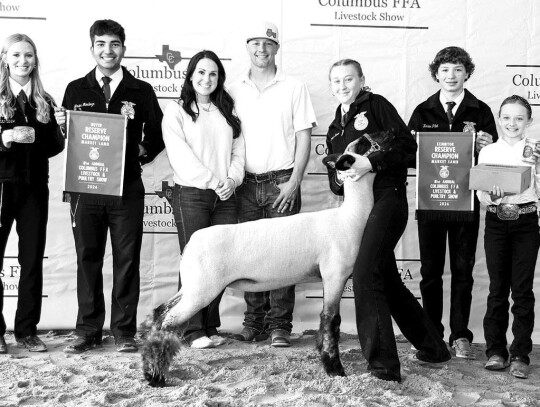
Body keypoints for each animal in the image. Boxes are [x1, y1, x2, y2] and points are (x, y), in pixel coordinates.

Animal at [139, 131, 392, 388]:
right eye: (362, 145)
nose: (388, 134)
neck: (349, 217)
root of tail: (192, 241)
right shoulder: (335, 274)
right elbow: (331, 321)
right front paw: (336, 370)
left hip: (192, 285)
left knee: (160, 312)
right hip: (201, 290)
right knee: (167, 323)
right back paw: (156, 377)